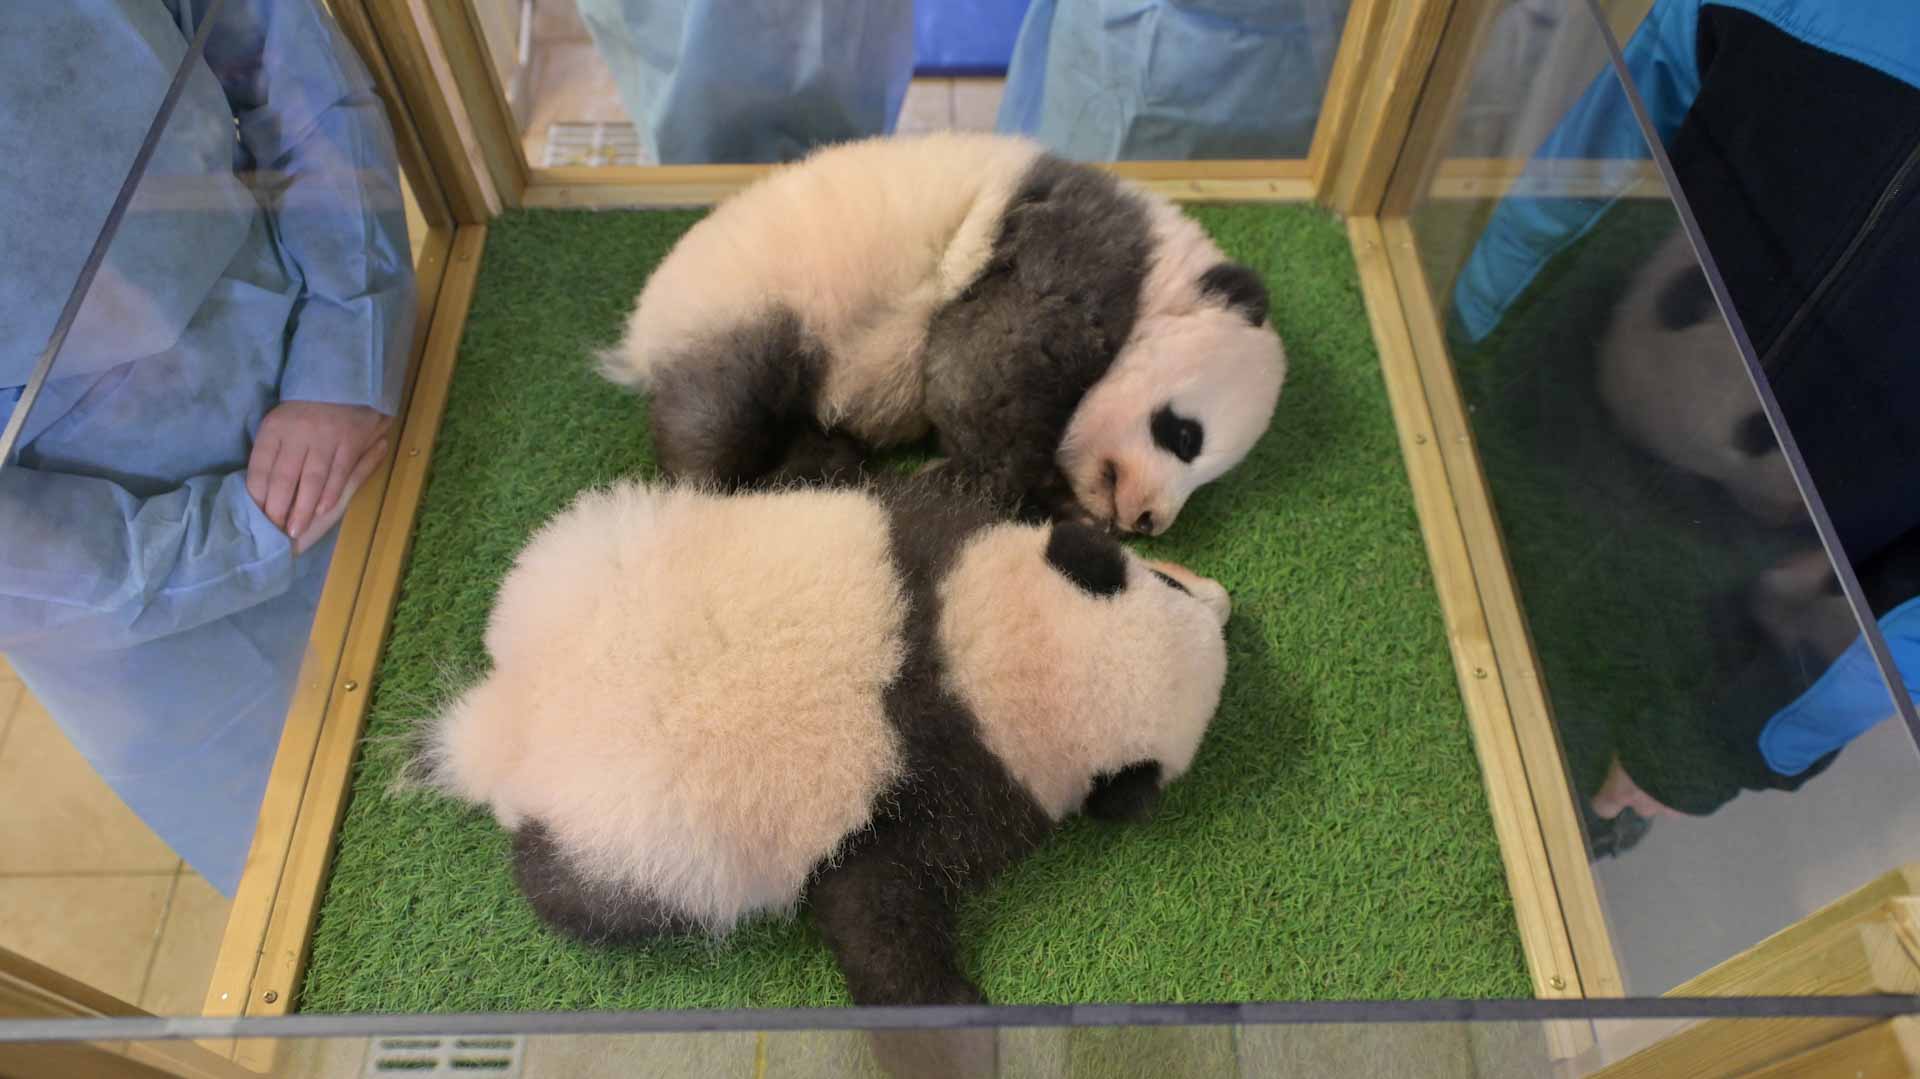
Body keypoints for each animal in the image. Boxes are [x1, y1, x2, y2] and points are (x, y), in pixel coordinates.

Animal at [407, 470, 1232, 1006]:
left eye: (1173, 585)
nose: (1226, 604)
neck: (975, 665)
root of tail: (511, 720)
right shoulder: (942, 796)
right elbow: (874, 906)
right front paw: (944, 1001)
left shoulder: (923, 541)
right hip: (633, 854)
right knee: (583, 896)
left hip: (572, 558)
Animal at [596, 131, 1288, 537]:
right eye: (1184, 435)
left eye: (1209, 475)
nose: (1148, 522)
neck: (1158, 276)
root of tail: (638, 339)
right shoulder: (1075, 245)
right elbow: (993, 365)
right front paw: (1009, 492)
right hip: (748, 307)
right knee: (721, 419)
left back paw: (825, 462)